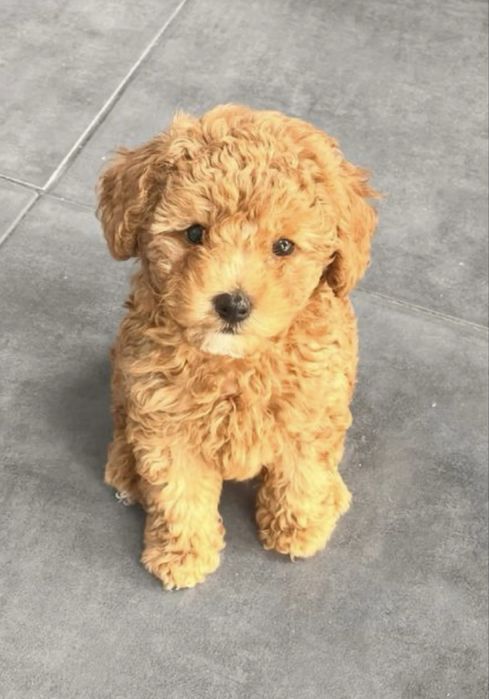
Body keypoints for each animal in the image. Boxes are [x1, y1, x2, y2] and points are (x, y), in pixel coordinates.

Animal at [97, 104, 378, 589]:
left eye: (283, 246)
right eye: (194, 233)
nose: (233, 303)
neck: (237, 364)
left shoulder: (311, 407)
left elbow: (301, 472)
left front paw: (299, 528)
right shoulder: (164, 418)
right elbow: (179, 492)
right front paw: (183, 554)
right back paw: (125, 470)